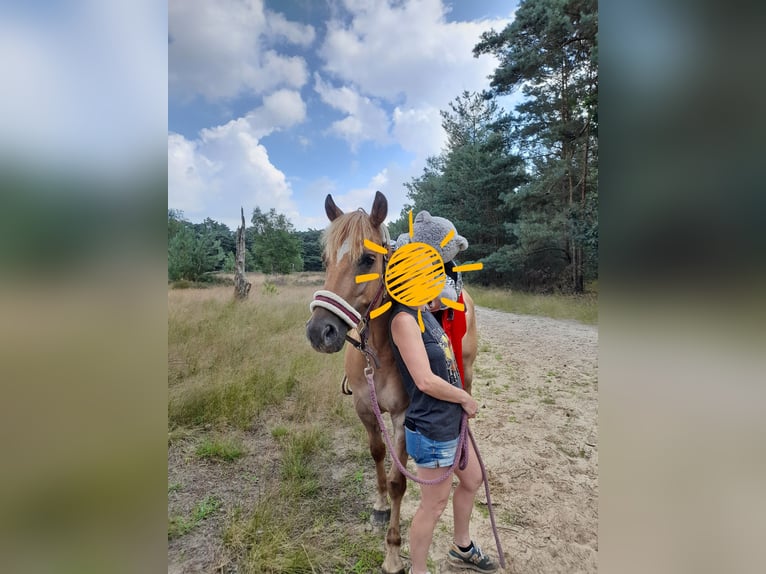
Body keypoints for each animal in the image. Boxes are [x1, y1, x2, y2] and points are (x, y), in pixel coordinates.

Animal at [308, 191, 480, 572]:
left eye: (367, 258)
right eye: (325, 259)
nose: (319, 332)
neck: (381, 349)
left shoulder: (403, 417)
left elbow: (399, 480)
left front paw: (392, 553)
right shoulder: (364, 407)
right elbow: (377, 455)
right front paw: (380, 506)